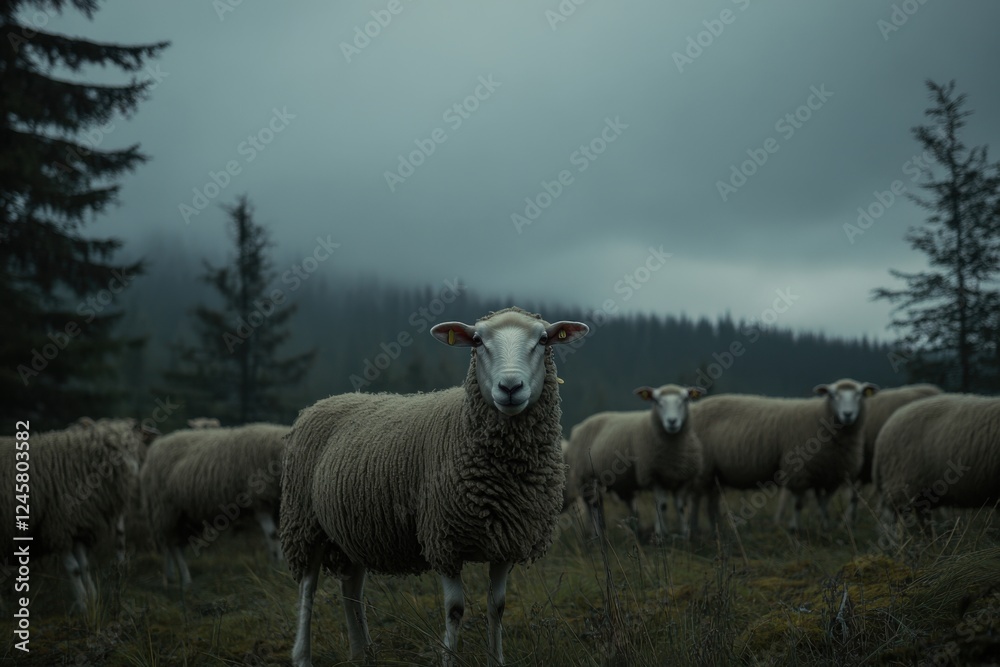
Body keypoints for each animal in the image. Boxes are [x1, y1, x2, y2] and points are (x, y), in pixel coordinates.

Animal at [0, 419, 146, 611]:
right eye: (113, 449)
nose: (133, 468)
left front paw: (92, 598)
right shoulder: (57, 527)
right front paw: (83, 604)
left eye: (132, 447)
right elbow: (74, 569)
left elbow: (85, 566)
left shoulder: (77, 526)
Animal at [140, 422, 287, 588]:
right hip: (166, 509)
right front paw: (278, 568)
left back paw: (170, 578)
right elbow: (272, 536)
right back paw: (185, 580)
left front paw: (279, 567)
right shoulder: (260, 501)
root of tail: (155, 447)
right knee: (174, 545)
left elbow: (278, 536)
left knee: (169, 544)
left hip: (183, 515)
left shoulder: (275, 506)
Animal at [280, 306, 588, 667]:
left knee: (351, 589)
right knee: (307, 590)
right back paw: (303, 656)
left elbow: (497, 608)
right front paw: (448, 658)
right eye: (478, 341)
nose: (510, 386)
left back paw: (362, 652)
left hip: (351, 530)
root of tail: (325, 401)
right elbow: (455, 610)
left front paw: (496, 659)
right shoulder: (443, 538)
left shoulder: (505, 539)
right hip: (305, 523)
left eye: (542, 340)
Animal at [563, 384, 705, 541]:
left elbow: (680, 506)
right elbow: (661, 505)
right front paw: (660, 534)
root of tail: (579, 426)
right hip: (586, 478)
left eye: (685, 399)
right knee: (592, 507)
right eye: (657, 401)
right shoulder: (654, 476)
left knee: (603, 506)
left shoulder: (683, 479)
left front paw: (685, 535)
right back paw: (597, 535)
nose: (672, 421)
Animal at [688, 379, 879, 535]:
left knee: (711, 502)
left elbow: (823, 503)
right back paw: (695, 529)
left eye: (859, 395)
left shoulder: (830, 474)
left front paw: (825, 527)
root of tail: (696, 407)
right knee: (696, 499)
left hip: (714, 473)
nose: (848, 414)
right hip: (703, 468)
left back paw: (716, 528)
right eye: (832, 395)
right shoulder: (799, 472)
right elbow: (798, 503)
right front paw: (795, 528)